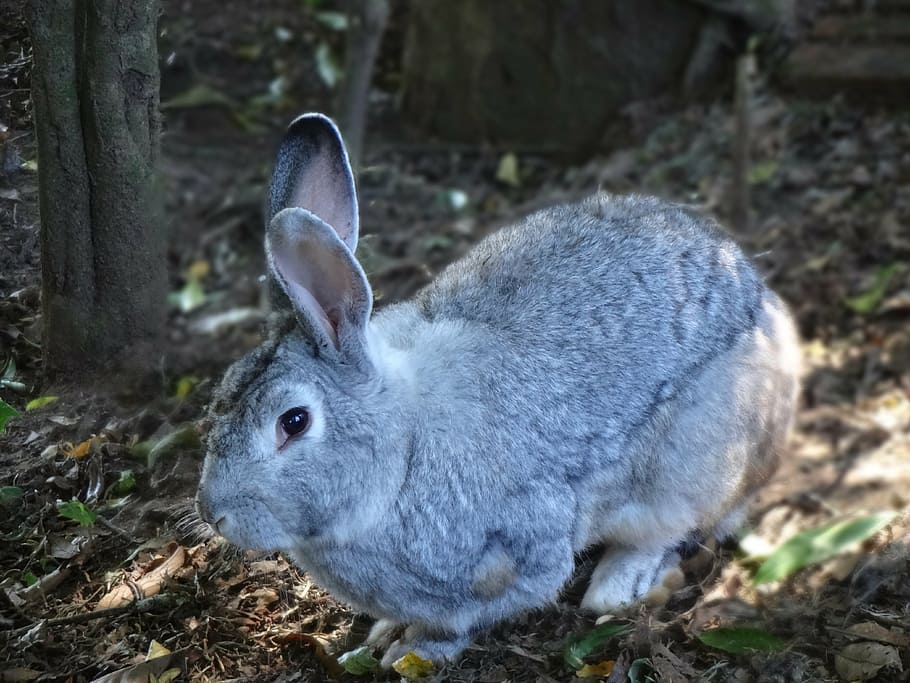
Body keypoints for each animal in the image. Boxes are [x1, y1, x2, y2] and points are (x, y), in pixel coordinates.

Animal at [195, 113, 801, 668]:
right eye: (220, 398)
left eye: (293, 422)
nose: (211, 513)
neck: (404, 448)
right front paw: (381, 636)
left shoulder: (517, 557)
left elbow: (466, 619)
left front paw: (413, 651)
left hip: (693, 459)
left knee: (674, 526)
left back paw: (616, 585)